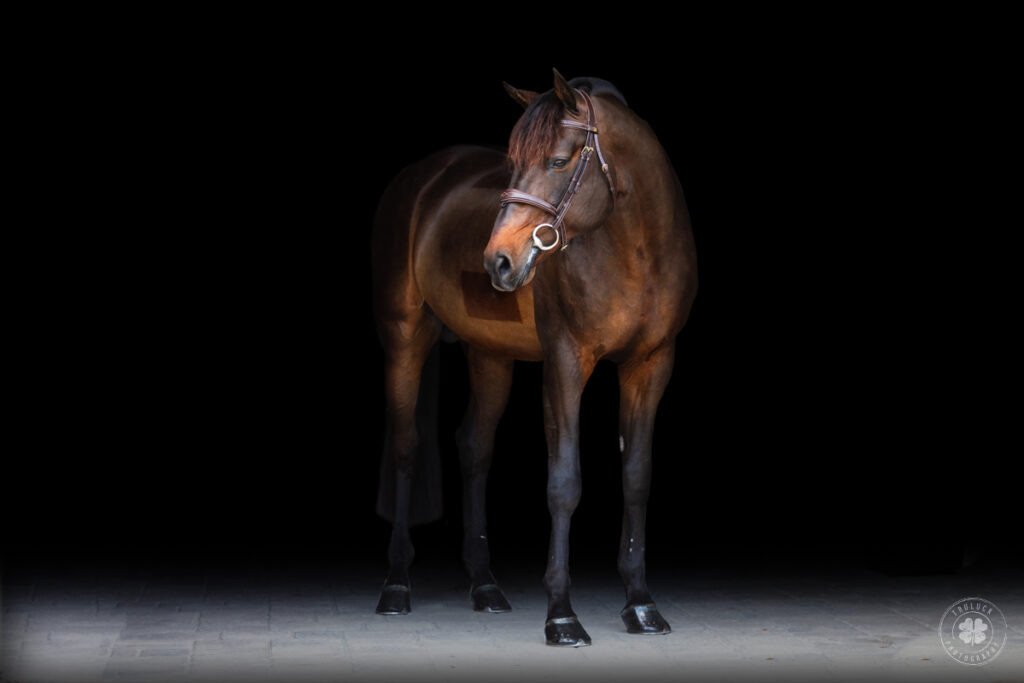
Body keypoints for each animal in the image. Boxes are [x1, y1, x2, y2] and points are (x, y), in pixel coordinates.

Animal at [368, 69, 696, 647]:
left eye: (559, 161)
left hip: (489, 354)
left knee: (473, 448)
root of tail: (422, 177)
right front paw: (562, 616)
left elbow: (636, 476)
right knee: (406, 447)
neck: (638, 254)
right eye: (514, 160)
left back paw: (485, 587)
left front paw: (641, 604)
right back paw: (396, 587)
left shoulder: (651, 363)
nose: (499, 261)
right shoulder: (566, 362)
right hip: (405, 335)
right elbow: (564, 482)